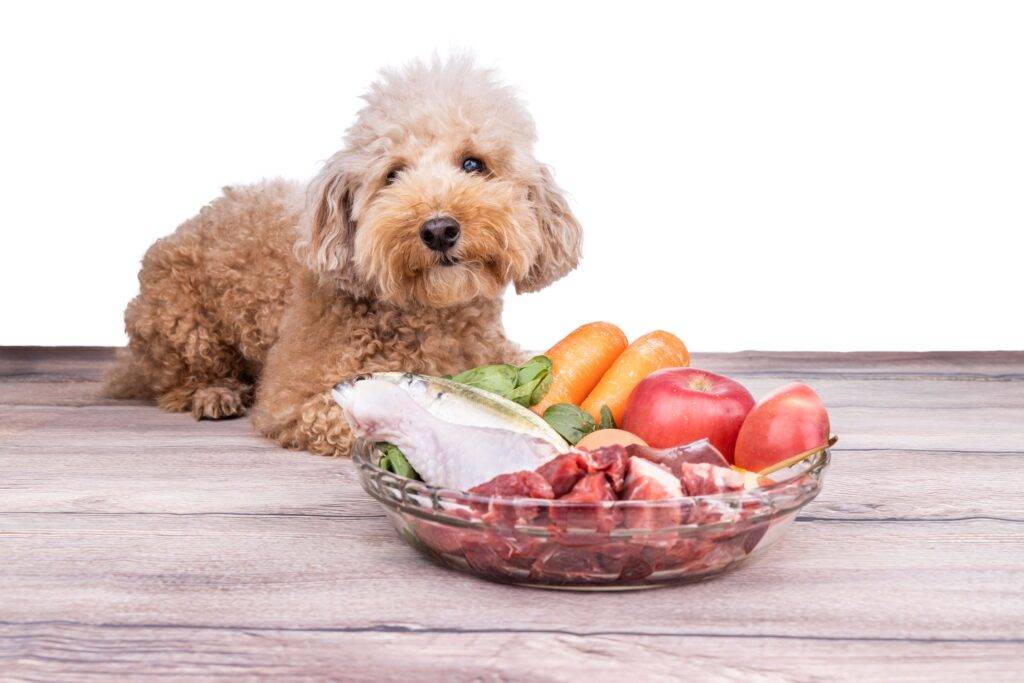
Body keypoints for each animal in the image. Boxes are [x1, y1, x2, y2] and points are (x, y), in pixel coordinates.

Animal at [109, 56, 585, 456]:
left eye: (473, 164)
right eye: (392, 175)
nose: (439, 229)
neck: (430, 316)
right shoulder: (298, 397)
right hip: (179, 321)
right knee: (175, 379)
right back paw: (214, 393)